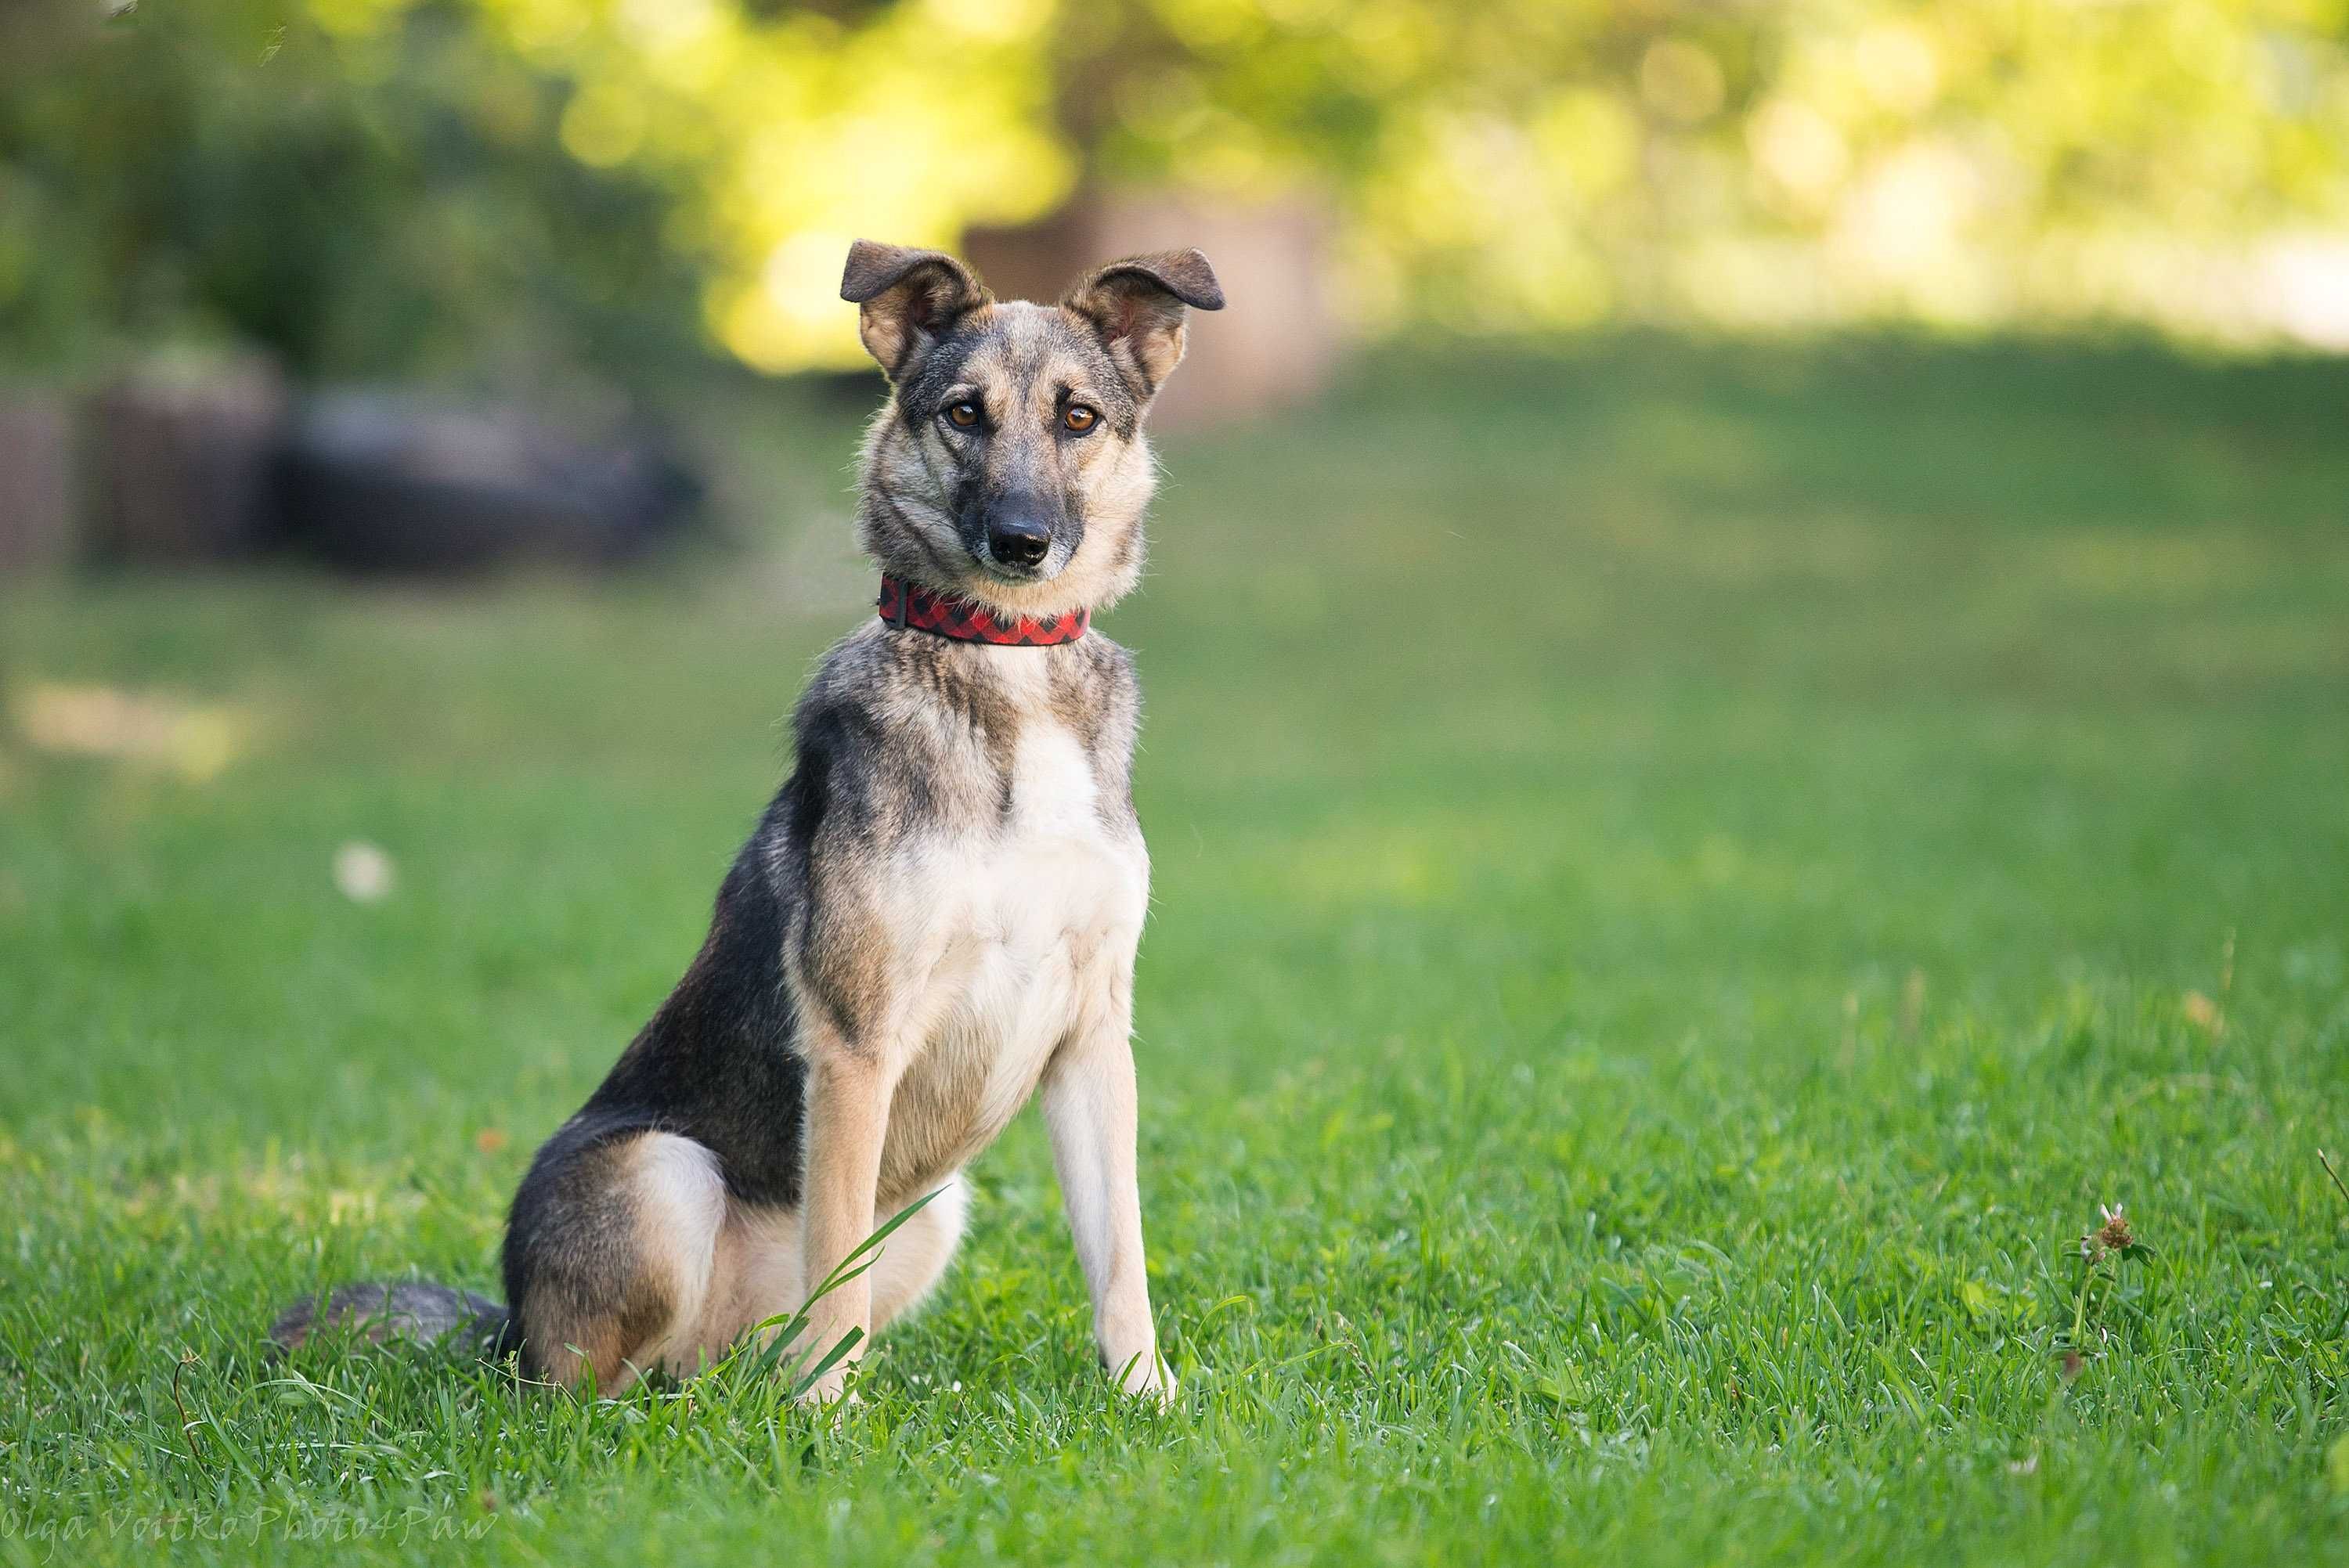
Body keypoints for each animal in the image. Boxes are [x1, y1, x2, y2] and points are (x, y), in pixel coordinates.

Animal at [270, 239, 1231, 1399]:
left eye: (1079, 416)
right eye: (964, 412)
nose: (1022, 542)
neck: (1006, 667)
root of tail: (506, 1327)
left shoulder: (1092, 1040)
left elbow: (1119, 1249)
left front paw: (1145, 1393)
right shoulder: (857, 1042)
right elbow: (838, 1258)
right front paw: (834, 1417)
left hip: (932, 1207)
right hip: (664, 1174)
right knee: (587, 1389)